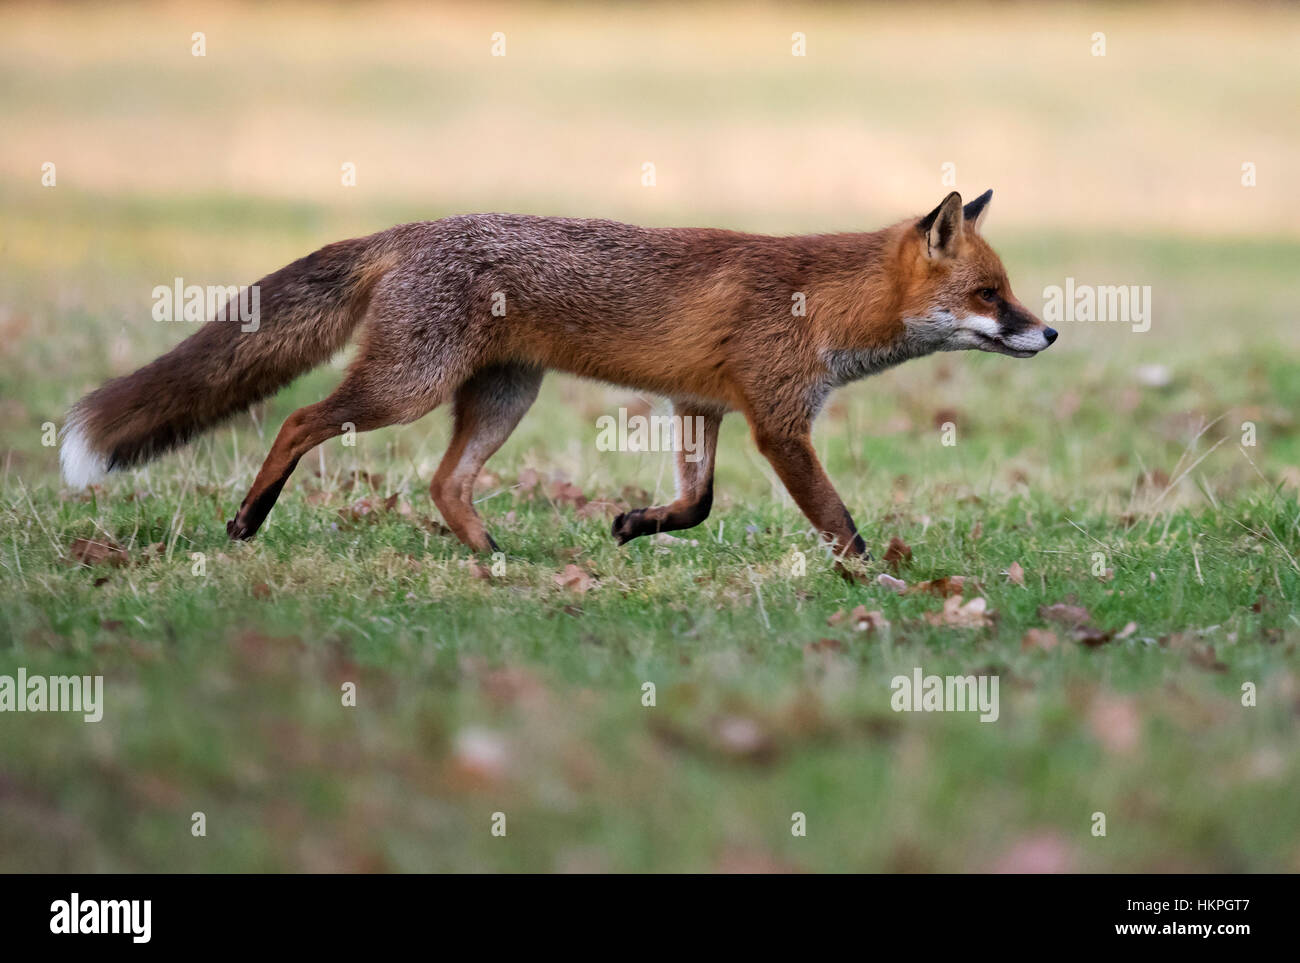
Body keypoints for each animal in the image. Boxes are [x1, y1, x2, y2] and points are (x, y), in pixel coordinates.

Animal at [61, 190, 1055, 566]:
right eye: (989, 294)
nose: (1048, 330)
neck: (825, 302)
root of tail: (409, 229)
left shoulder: (700, 405)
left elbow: (697, 504)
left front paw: (634, 523)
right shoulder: (777, 421)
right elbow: (839, 520)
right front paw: (877, 583)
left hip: (503, 397)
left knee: (444, 481)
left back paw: (492, 554)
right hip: (408, 387)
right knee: (300, 419)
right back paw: (248, 518)